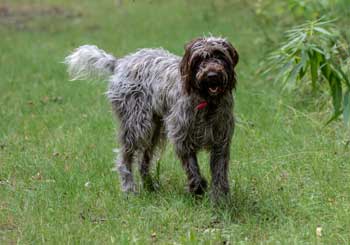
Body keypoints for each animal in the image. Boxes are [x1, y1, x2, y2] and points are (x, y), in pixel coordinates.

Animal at [64, 36, 239, 201]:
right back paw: (129, 189)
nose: (212, 75)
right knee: (124, 159)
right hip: (137, 126)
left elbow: (219, 174)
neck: (207, 103)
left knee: (143, 163)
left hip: (154, 131)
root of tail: (121, 63)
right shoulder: (182, 138)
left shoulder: (221, 143)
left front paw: (220, 200)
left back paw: (150, 187)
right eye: (199, 58)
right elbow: (192, 168)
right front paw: (197, 188)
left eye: (220, 55)